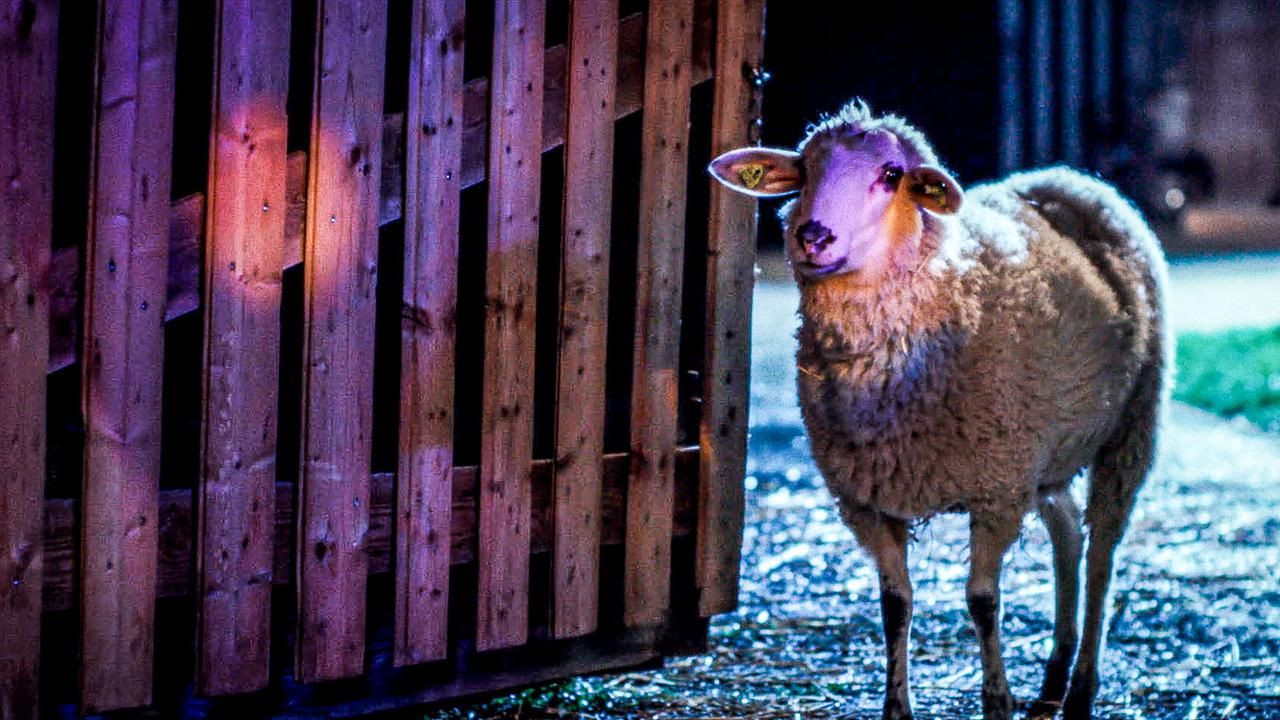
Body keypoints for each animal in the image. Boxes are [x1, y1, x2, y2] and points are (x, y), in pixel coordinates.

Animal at [709, 100, 1169, 720]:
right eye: (803, 171)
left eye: (891, 175)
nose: (813, 236)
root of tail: (1064, 177)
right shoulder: (868, 501)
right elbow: (894, 605)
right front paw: (896, 707)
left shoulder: (997, 490)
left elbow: (983, 601)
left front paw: (996, 701)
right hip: (1047, 454)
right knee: (1069, 534)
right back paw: (1052, 680)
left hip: (1132, 427)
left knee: (1102, 555)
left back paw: (1080, 689)